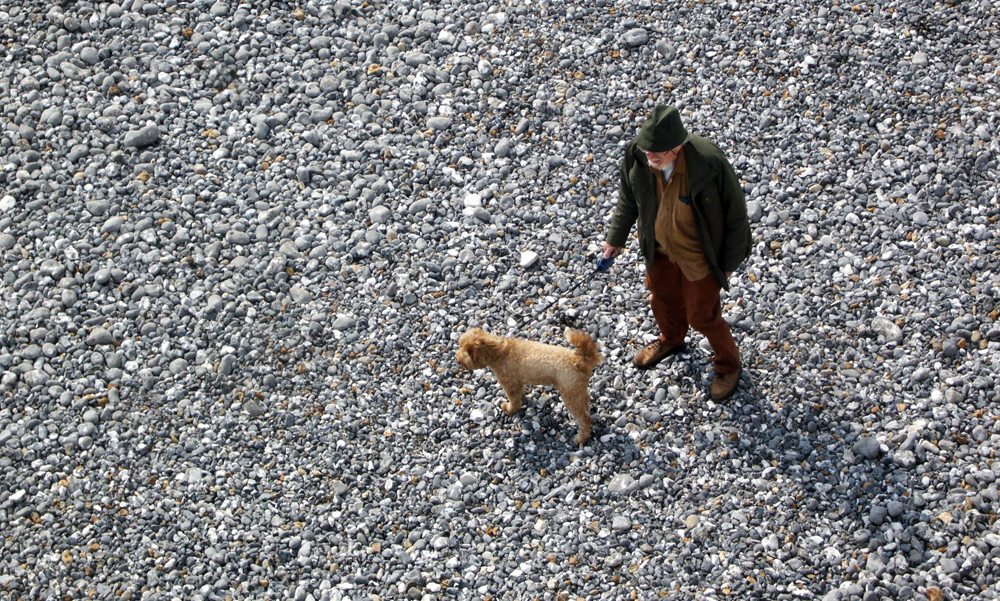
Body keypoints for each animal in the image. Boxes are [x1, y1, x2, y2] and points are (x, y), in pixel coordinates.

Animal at [456, 326, 600, 442]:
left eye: (470, 351)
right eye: (461, 345)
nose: (458, 359)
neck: (500, 352)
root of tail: (579, 361)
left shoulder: (510, 383)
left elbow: (514, 400)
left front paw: (510, 409)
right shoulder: (517, 382)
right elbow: (520, 394)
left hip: (570, 394)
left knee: (585, 419)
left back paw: (581, 438)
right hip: (576, 389)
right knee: (585, 400)